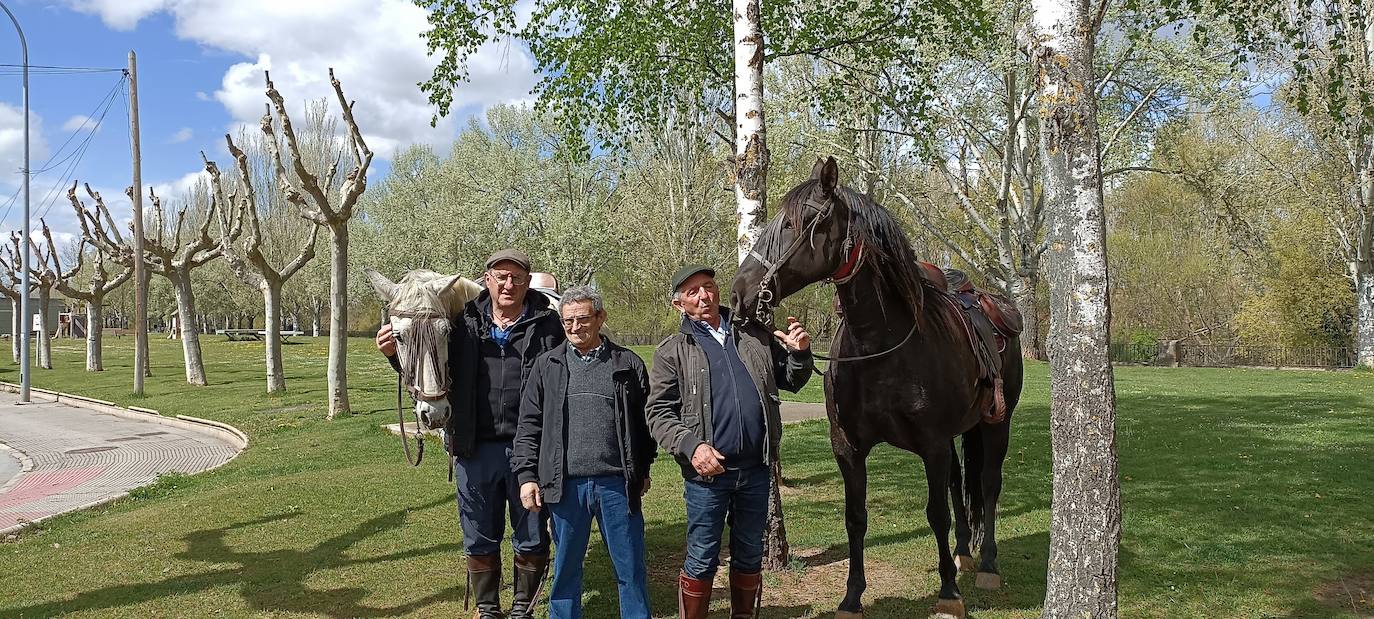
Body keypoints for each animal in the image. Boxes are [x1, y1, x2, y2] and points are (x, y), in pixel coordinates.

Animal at [730, 157, 1022, 617]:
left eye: (796, 223)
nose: (739, 294)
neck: (880, 343)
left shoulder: (932, 445)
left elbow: (936, 513)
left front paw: (949, 593)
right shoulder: (848, 446)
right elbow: (856, 517)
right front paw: (852, 597)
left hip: (997, 424)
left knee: (990, 484)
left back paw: (987, 563)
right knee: (960, 484)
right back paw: (962, 552)